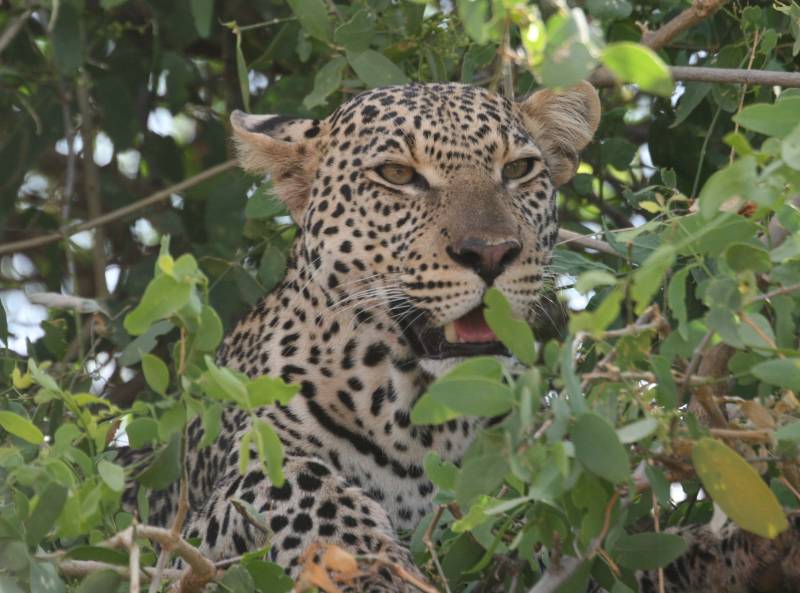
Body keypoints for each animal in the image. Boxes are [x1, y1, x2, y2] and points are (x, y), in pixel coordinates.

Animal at [122, 82, 796, 592]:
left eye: (518, 170)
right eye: (397, 174)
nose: (491, 252)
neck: (422, 416)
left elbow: (639, 551)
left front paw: (747, 540)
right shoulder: (192, 528)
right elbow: (296, 484)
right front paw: (375, 568)